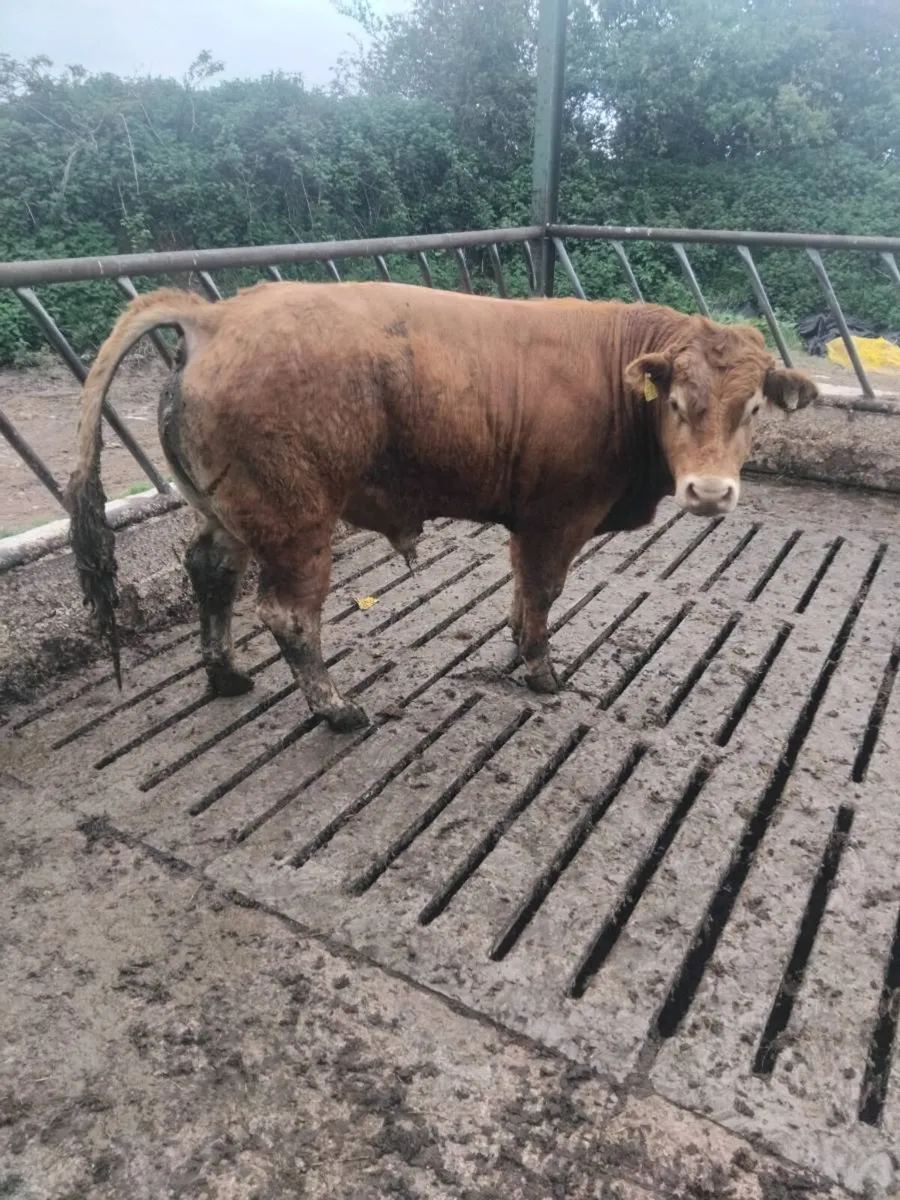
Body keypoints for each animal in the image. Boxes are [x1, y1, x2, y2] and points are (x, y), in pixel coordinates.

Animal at [66, 280, 818, 733]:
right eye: (678, 402)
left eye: (754, 408)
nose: (710, 492)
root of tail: (217, 315)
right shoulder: (557, 516)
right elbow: (542, 592)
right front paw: (542, 673)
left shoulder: (530, 520)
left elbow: (521, 590)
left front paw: (515, 646)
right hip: (297, 523)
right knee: (288, 614)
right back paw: (337, 709)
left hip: (225, 512)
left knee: (210, 573)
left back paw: (225, 675)